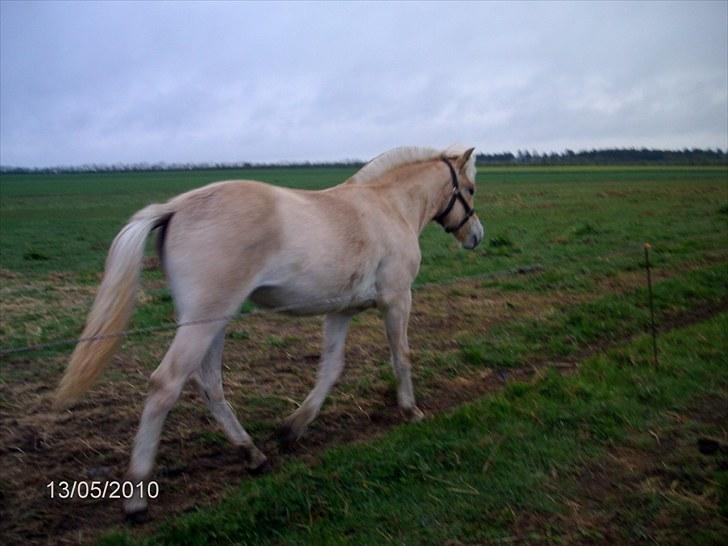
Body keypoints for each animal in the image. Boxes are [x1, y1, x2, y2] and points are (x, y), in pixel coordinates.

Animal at [52, 143, 484, 516]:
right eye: (470, 188)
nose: (476, 236)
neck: (388, 207)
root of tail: (174, 208)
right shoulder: (397, 300)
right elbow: (401, 356)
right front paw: (411, 411)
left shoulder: (340, 312)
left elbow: (330, 369)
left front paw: (292, 429)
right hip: (206, 322)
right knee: (165, 384)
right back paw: (137, 495)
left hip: (212, 323)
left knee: (209, 384)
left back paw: (252, 454)